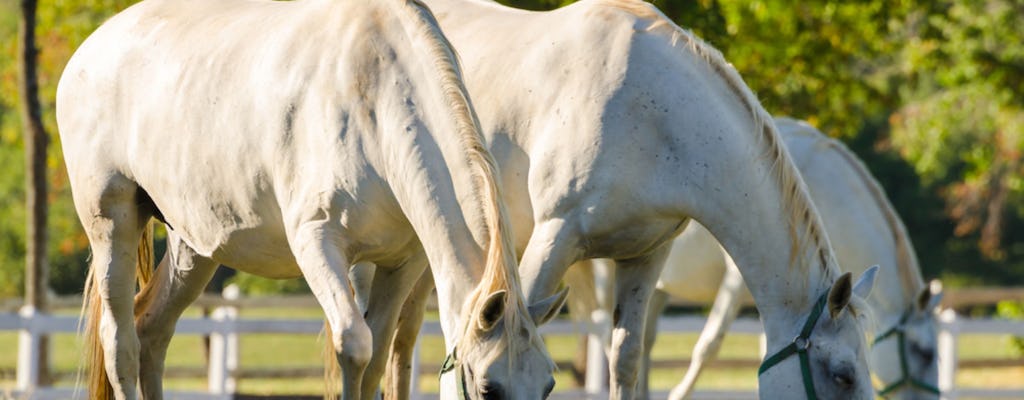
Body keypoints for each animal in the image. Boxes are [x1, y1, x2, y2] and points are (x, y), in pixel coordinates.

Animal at [58, 0, 561, 400]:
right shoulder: (317, 244)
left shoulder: (402, 263)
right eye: (488, 388)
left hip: (194, 245)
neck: (374, 99)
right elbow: (355, 346)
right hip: (113, 224)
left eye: (548, 385)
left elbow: (376, 359)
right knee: (121, 344)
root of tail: (91, 49)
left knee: (153, 331)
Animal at [569, 117, 942, 398]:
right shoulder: (740, 281)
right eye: (925, 353)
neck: (816, 183)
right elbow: (709, 346)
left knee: (644, 344)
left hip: (657, 287)